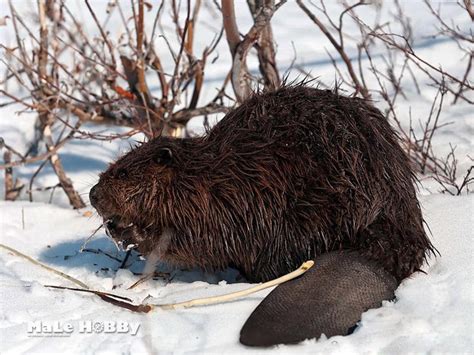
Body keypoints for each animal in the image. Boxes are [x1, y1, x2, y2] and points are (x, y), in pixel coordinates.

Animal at [90, 85, 436, 348]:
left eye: (122, 173)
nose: (93, 194)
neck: (204, 174)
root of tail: (372, 256)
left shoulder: (227, 201)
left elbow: (198, 239)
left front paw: (127, 231)